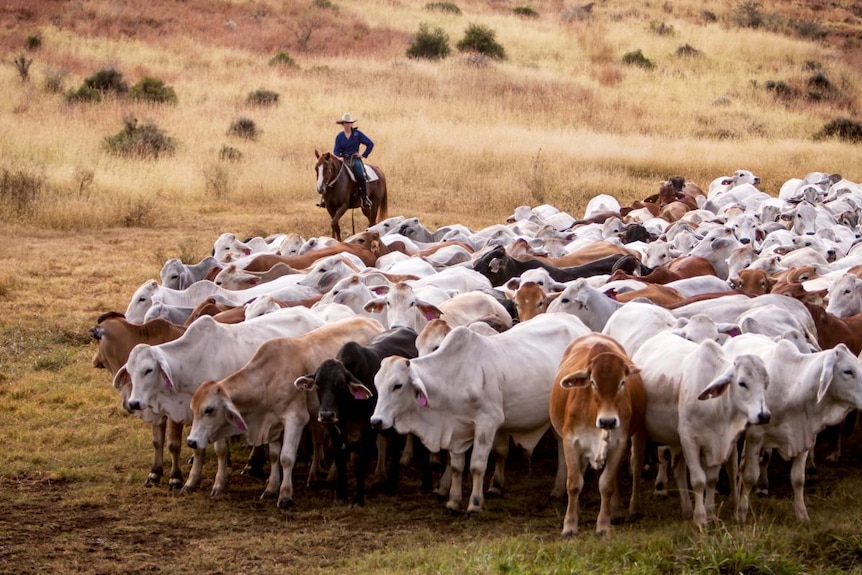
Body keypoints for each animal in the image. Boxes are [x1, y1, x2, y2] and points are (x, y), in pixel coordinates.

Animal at [296, 326, 420, 506]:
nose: (326, 414)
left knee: (397, 445)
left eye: (341, 384)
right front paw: (341, 495)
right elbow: (340, 458)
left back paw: (391, 483)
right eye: (318, 384)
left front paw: (358, 498)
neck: (349, 406)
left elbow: (362, 461)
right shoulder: (335, 429)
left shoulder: (370, 427)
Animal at [552, 336, 644, 536]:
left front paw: (603, 525)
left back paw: (619, 510)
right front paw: (569, 526)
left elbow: (607, 484)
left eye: (622, 382)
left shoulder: (619, 443)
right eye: (593, 382)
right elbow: (574, 483)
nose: (607, 421)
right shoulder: (570, 441)